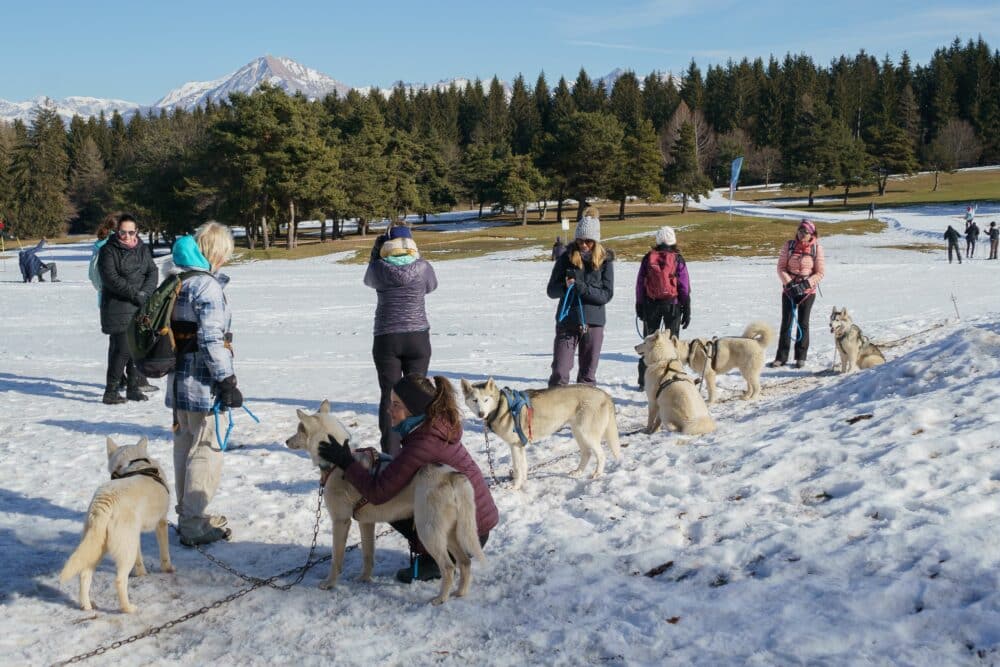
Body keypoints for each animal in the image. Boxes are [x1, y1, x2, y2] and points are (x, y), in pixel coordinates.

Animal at [60, 438, 175, 616]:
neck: (134, 463)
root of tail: (106, 501)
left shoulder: (135, 536)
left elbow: (139, 560)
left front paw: (141, 574)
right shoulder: (161, 523)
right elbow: (165, 553)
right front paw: (167, 568)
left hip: (98, 547)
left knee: (84, 574)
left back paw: (86, 605)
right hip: (124, 550)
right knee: (119, 580)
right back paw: (127, 608)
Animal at [286, 400, 484, 608]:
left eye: (299, 429)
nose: (286, 441)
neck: (337, 464)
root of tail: (451, 474)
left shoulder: (340, 521)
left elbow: (336, 559)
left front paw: (330, 583)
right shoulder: (365, 523)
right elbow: (368, 555)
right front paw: (364, 579)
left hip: (428, 532)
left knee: (449, 566)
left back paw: (440, 599)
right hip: (450, 533)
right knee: (465, 562)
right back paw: (460, 593)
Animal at [458, 378, 616, 494]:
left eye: (486, 400)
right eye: (475, 400)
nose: (481, 414)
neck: (500, 407)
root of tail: (604, 393)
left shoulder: (515, 445)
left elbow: (517, 468)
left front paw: (515, 486)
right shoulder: (519, 445)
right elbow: (523, 466)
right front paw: (523, 482)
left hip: (586, 433)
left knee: (601, 455)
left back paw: (597, 474)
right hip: (578, 432)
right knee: (586, 453)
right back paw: (577, 472)